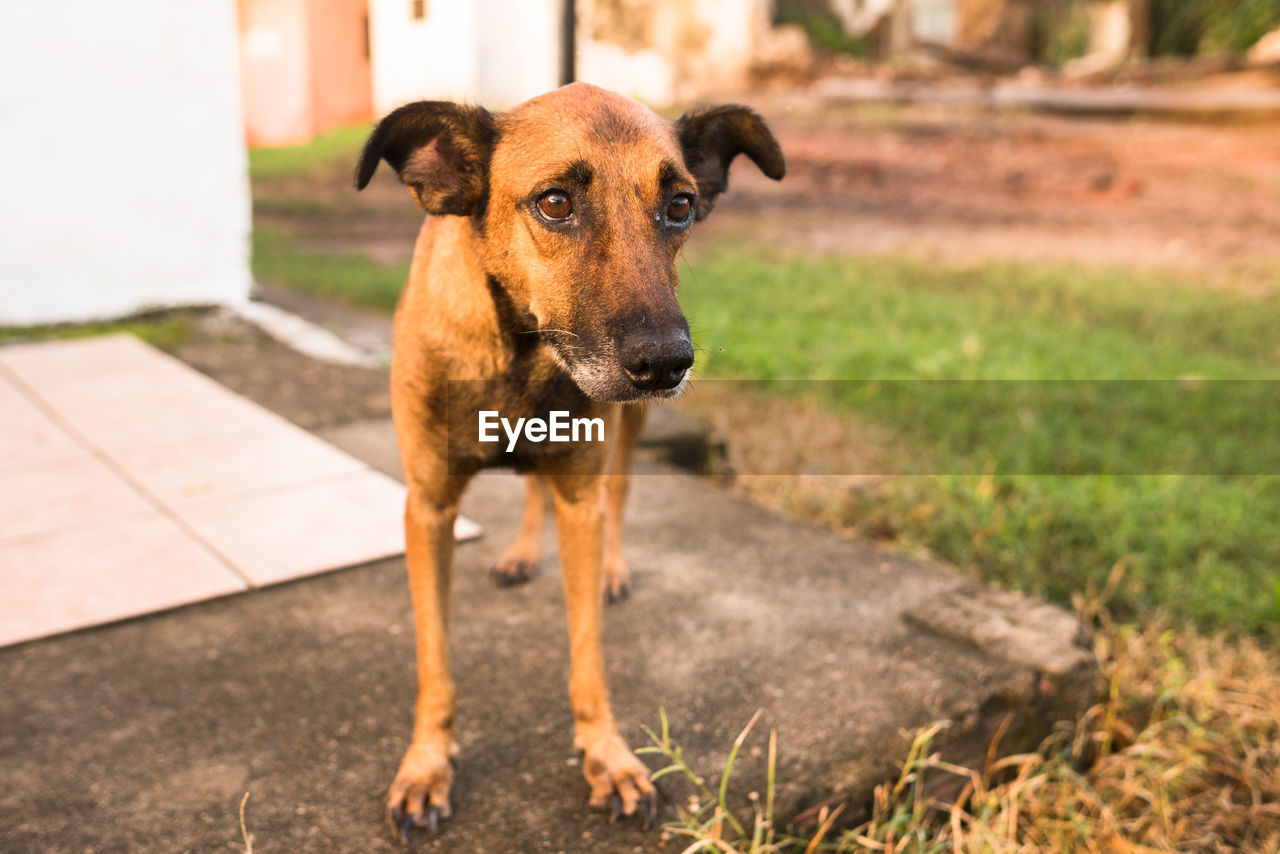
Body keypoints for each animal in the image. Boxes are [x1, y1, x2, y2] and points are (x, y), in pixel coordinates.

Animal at [355, 81, 783, 839]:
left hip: (627, 432)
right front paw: (426, 765)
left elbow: (589, 656)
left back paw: (611, 567)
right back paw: (523, 553)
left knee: (616, 497)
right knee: (533, 489)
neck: (521, 353)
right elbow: (436, 665)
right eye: (555, 202)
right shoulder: (428, 509)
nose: (666, 363)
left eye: (679, 205)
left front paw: (606, 755)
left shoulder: (581, 493)